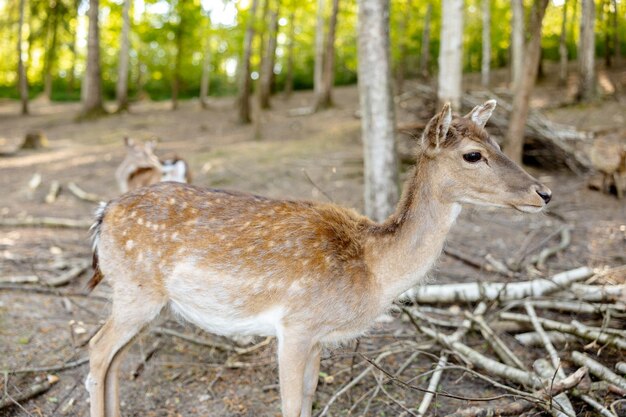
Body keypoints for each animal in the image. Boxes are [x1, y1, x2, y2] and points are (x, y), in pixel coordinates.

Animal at [86, 101, 544, 416]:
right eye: (473, 154)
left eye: (497, 143)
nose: (544, 192)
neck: (372, 271)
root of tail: (102, 215)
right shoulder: (296, 324)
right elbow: (290, 405)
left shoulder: (319, 337)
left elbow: (309, 397)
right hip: (135, 292)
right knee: (97, 350)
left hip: (150, 304)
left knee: (115, 360)